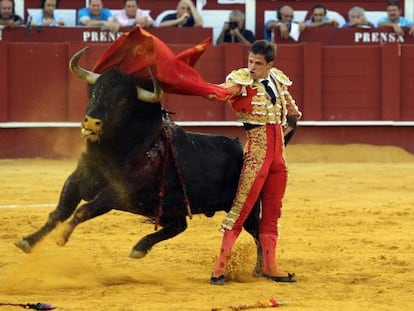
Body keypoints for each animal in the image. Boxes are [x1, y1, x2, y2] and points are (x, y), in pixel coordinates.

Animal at [16, 61, 294, 278]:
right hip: (171, 205)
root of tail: (238, 146)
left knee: (257, 231)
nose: (92, 122)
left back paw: (260, 270)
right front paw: (28, 241)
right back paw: (140, 247)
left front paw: (61, 237)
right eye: (94, 92)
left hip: (246, 205)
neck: (113, 151)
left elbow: (83, 211)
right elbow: (59, 211)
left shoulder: (118, 194)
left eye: (123, 101)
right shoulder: (76, 180)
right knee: (179, 226)